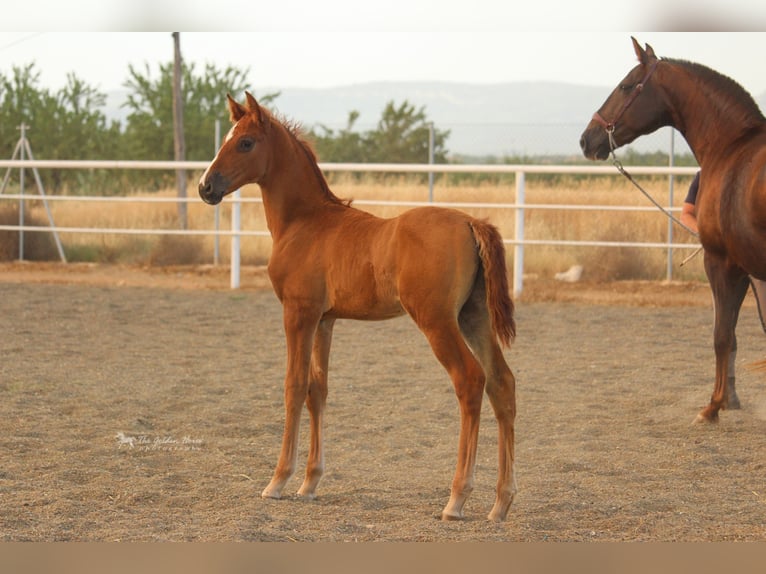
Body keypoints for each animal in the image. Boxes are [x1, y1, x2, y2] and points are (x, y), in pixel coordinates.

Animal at [201, 93, 520, 520]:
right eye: (227, 138)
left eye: (246, 142)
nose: (206, 186)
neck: (305, 222)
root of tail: (471, 223)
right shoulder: (324, 320)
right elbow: (317, 389)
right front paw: (309, 483)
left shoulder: (297, 315)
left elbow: (293, 386)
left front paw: (278, 481)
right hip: (473, 317)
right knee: (502, 383)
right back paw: (500, 503)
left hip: (437, 322)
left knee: (470, 380)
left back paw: (456, 499)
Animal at [584, 36, 764, 424]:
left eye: (626, 85)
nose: (587, 139)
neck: (732, 147)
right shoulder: (746, 269)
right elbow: (733, 335)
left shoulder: (721, 262)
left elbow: (721, 335)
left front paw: (712, 407)